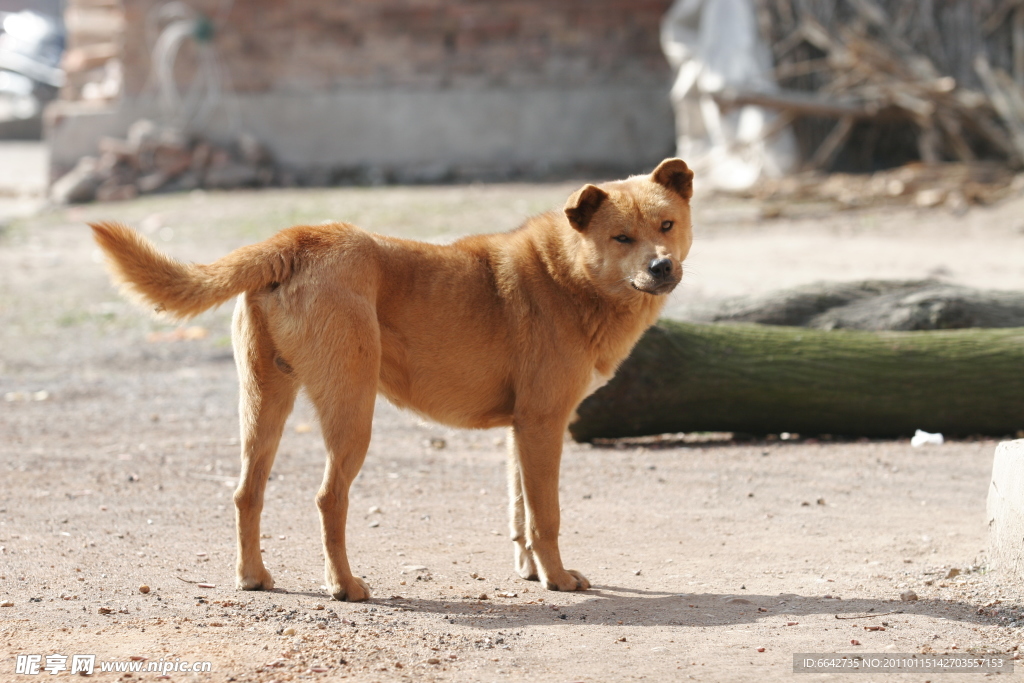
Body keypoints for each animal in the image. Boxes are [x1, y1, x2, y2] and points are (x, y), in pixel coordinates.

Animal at [92, 157, 696, 602]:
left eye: (667, 226)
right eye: (622, 238)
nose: (663, 266)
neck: (565, 273)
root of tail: (297, 239)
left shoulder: (521, 430)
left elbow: (519, 510)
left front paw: (530, 570)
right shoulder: (544, 424)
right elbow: (546, 515)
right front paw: (559, 579)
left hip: (264, 406)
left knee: (246, 493)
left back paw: (253, 577)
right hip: (353, 413)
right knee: (328, 499)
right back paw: (344, 585)